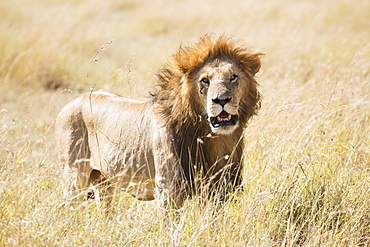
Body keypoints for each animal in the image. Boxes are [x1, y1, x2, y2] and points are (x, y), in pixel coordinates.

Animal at [55, 34, 264, 208]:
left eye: (233, 77)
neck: (211, 137)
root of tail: (73, 101)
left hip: (104, 182)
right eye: (205, 81)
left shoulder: (219, 187)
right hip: (74, 179)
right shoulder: (168, 189)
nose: (221, 100)